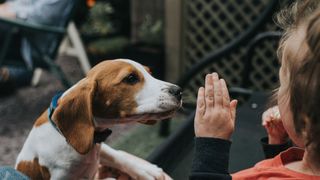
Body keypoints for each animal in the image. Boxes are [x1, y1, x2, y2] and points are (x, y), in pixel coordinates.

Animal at [15, 59, 181, 180]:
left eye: (150, 73)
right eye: (131, 78)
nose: (179, 91)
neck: (62, 136)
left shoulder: (98, 145)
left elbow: (117, 155)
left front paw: (145, 170)